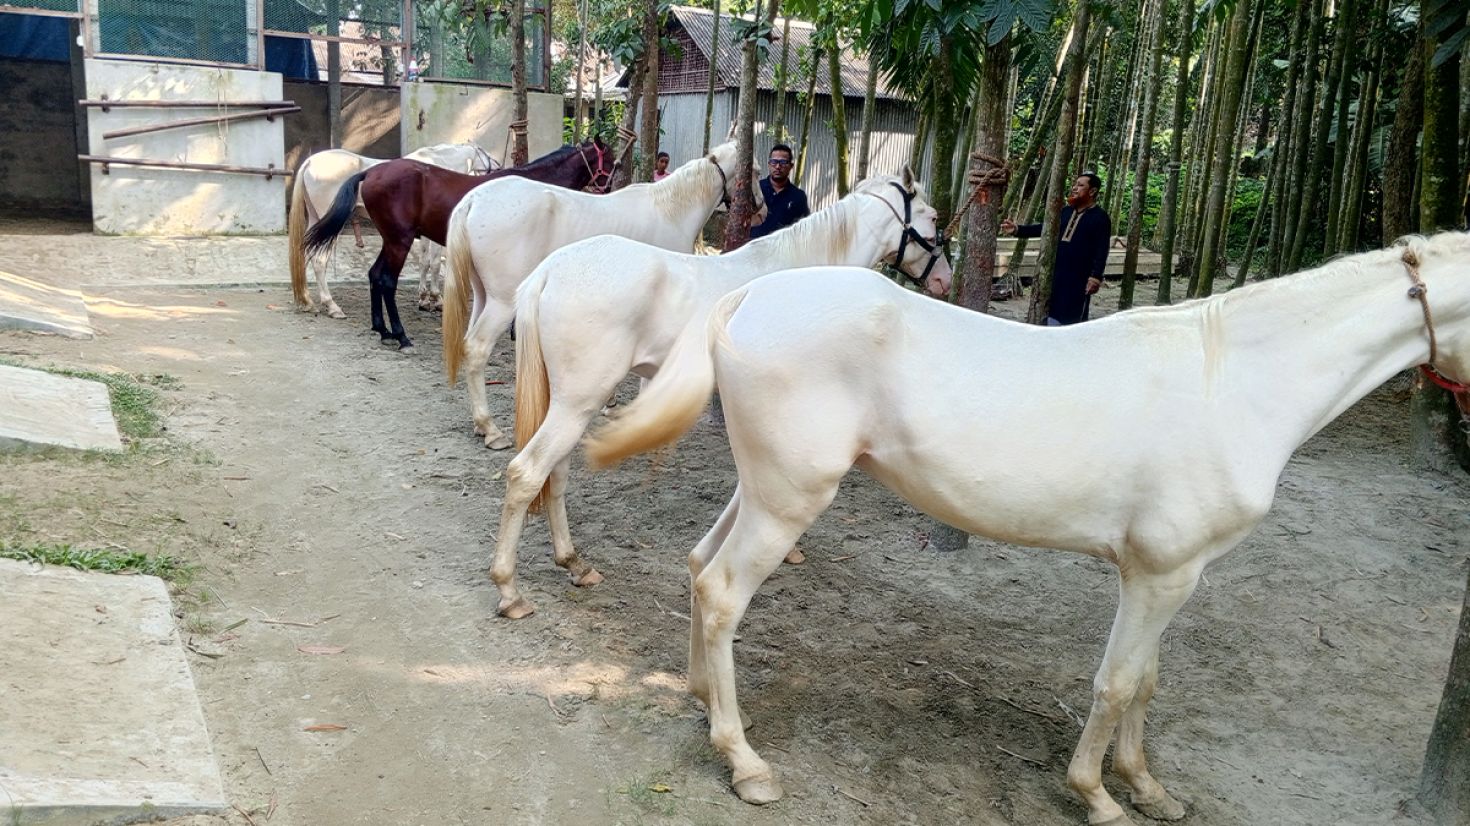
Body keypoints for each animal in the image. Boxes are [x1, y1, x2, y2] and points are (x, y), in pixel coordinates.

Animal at [288, 143, 499, 315]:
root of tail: (310, 162)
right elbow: (434, 263)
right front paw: (436, 299)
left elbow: (424, 262)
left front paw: (423, 299)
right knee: (319, 261)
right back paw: (332, 306)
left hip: (316, 221)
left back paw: (308, 302)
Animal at [438, 141, 764, 449]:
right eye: (755, 170)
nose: (762, 209)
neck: (670, 211)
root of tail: (474, 200)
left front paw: (611, 402)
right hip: (503, 302)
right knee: (477, 348)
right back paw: (491, 429)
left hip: (484, 296)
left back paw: (481, 426)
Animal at [493, 169, 952, 617]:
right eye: (932, 218)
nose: (944, 279)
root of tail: (549, 272)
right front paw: (790, 550)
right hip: (577, 403)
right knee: (527, 473)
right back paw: (510, 593)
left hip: (568, 404)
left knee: (555, 474)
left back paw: (574, 564)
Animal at [582, 233, 1470, 823]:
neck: (1236, 382)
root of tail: (749, 296)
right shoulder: (1158, 574)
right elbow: (1116, 682)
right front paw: (1097, 797)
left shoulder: (1174, 574)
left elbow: (1147, 681)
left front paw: (1149, 788)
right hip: (789, 500)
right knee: (725, 593)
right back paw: (744, 762)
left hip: (767, 489)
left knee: (699, 568)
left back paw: (703, 698)